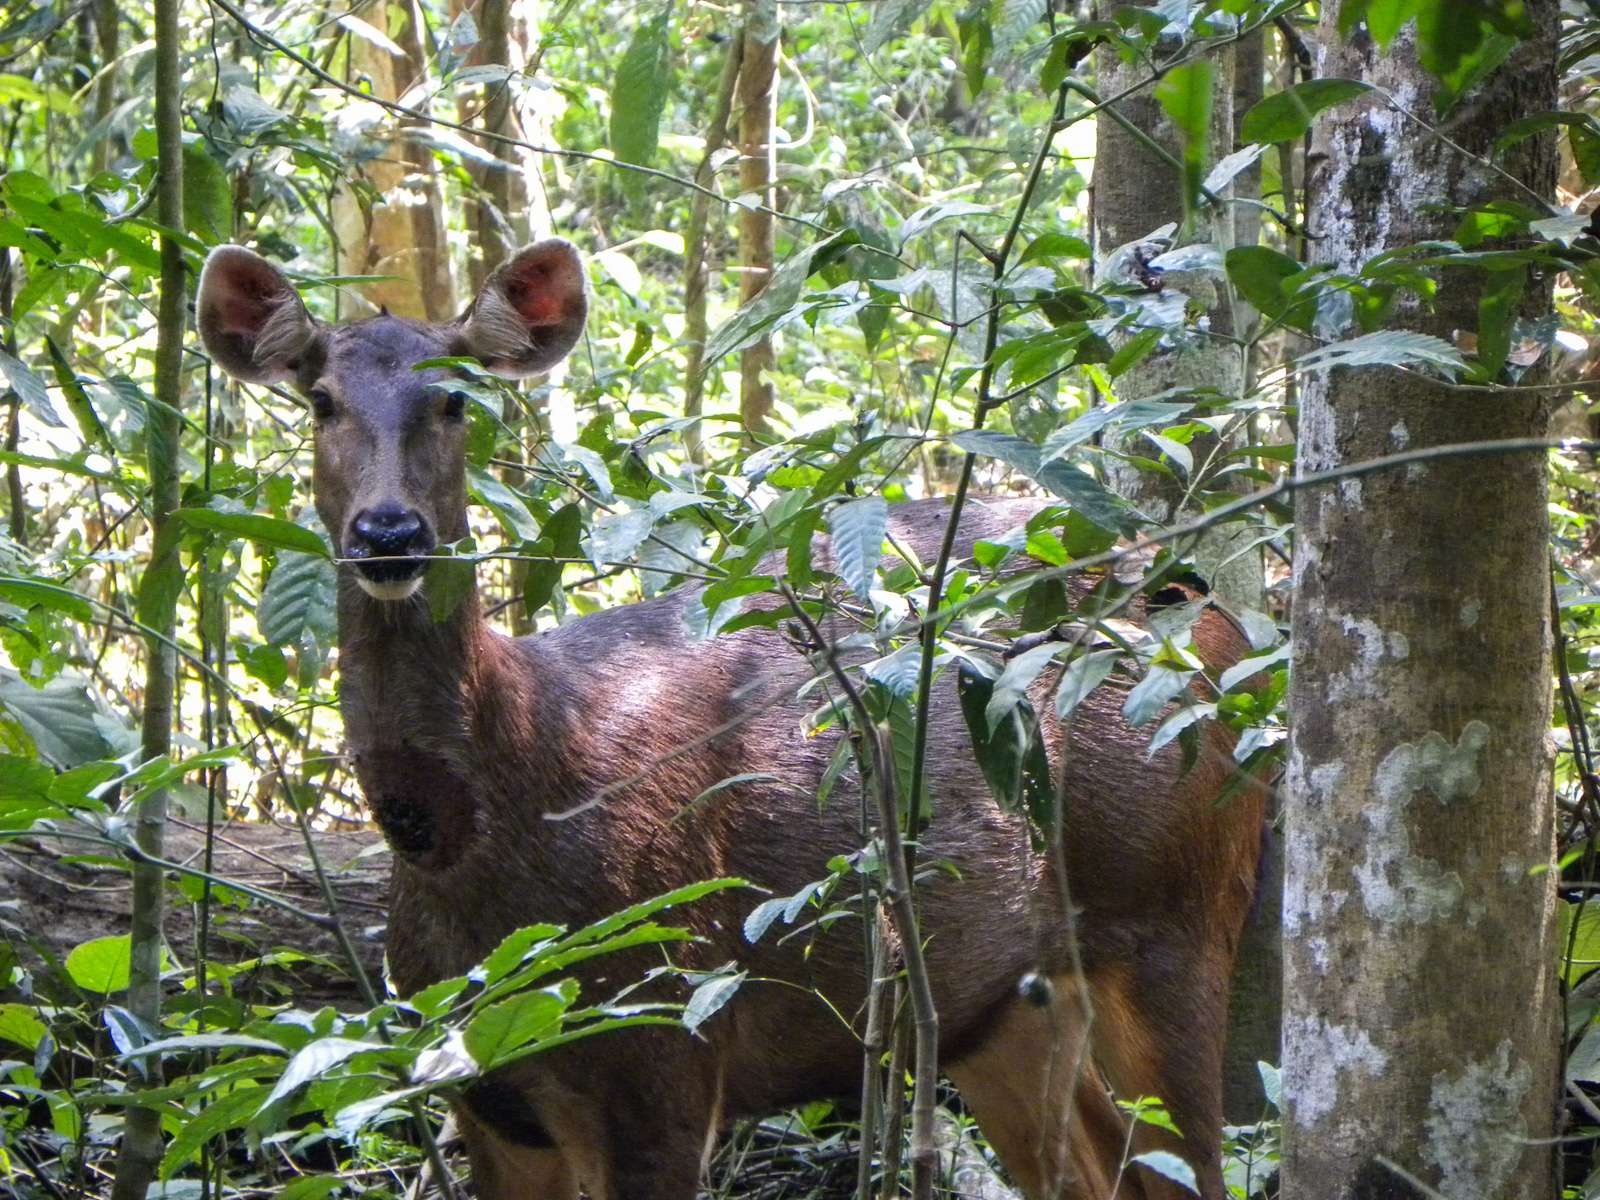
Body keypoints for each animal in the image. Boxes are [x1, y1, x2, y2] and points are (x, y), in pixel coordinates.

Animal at [196, 240, 1260, 1196]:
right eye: (320, 399)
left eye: (457, 398)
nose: (389, 533)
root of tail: (1224, 623)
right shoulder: (486, 1095)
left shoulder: (665, 1036)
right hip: (1004, 1007)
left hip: (1175, 906)